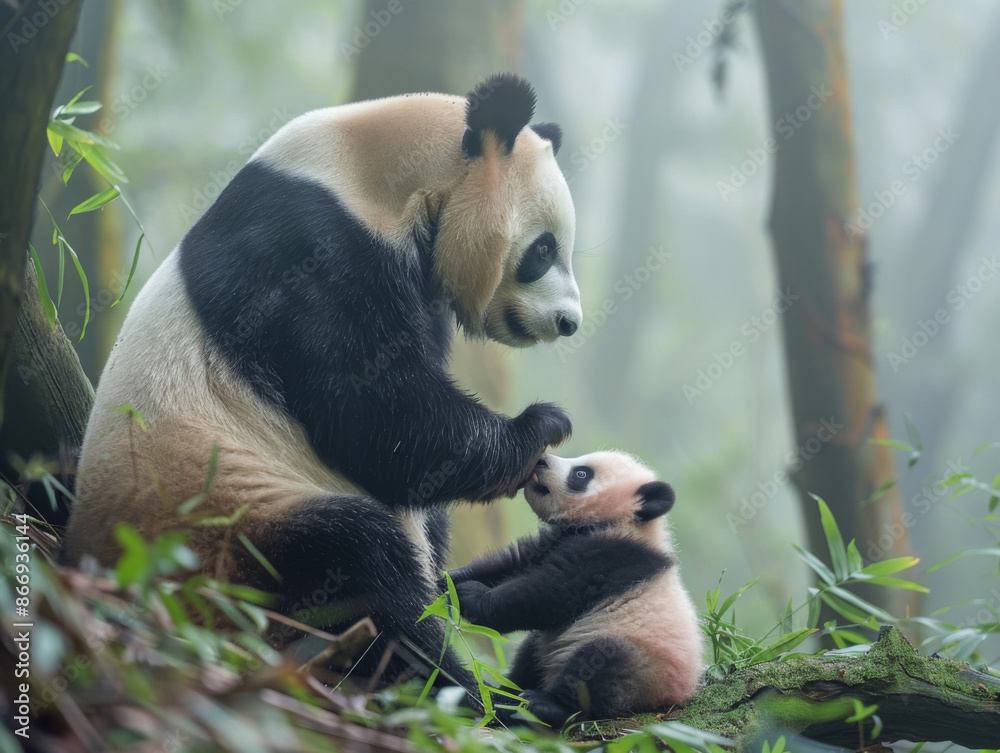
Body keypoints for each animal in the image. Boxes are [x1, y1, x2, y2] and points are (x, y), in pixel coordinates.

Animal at [63, 73, 582, 693]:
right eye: (543, 250)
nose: (570, 322)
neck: (369, 176)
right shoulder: (309, 249)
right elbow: (367, 410)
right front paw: (540, 426)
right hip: (221, 527)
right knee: (355, 565)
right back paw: (454, 686)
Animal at [448, 450, 704, 726]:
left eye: (581, 474)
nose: (540, 461)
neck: (627, 522)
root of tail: (676, 696)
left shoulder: (612, 556)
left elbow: (546, 593)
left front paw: (471, 595)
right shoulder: (556, 539)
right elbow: (513, 562)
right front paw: (450, 579)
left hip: (644, 664)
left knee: (597, 667)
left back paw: (542, 705)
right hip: (551, 644)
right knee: (530, 652)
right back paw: (505, 691)